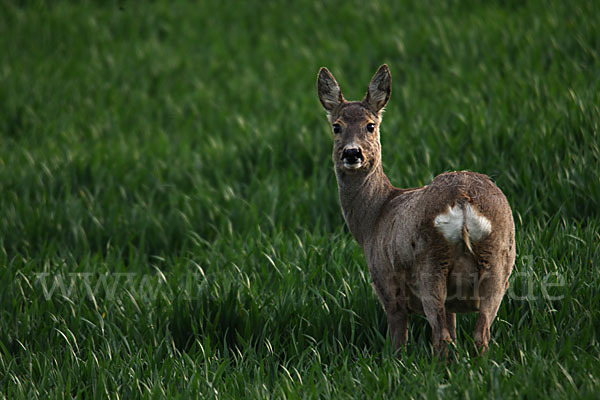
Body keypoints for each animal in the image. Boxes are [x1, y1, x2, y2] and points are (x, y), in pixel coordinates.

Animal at [318, 65, 516, 356]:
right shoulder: (452, 302)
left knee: (441, 338)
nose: (352, 153)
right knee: (479, 335)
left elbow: (398, 344)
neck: (373, 219)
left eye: (370, 125)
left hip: (430, 262)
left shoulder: (387, 286)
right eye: (336, 126)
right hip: (497, 260)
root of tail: (463, 201)